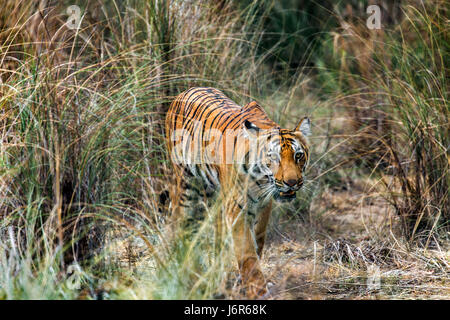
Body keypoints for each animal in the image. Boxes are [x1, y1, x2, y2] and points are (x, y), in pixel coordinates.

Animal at [164, 87, 310, 298]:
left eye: (298, 155)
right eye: (274, 157)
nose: (292, 183)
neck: (260, 181)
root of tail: (184, 92)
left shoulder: (264, 206)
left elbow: (258, 241)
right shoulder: (237, 208)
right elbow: (247, 253)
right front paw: (258, 291)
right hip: (186, 188)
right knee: (181, 225)